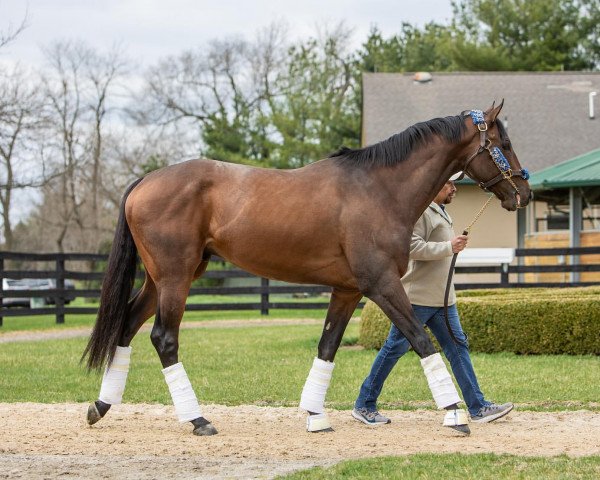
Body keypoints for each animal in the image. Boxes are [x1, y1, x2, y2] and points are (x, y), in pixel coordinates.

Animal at [83, 101, 528, 436]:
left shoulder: (347, 290)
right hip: (176, 277)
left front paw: (316, 416)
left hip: (162, 278)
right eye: (503, 142)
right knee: (164, 338)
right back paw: (197, 419)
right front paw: (454, 413)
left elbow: (328, 347)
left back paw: (101, 405)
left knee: (126, 325)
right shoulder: (382, 284)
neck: (378, 189)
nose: (524, 192)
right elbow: (422, 339)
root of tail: (144, 182)